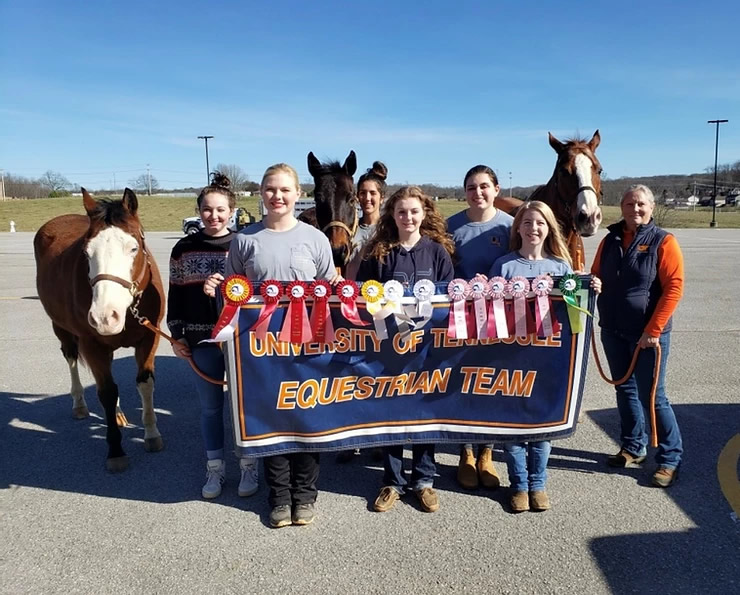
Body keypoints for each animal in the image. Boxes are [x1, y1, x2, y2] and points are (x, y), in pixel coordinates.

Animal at [34, 189, 165, 472]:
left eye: (134, 247)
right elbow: (106, 391)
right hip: (61, 328)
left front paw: (151, 434)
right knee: (72, 359)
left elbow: (145, 384)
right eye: (86, 252)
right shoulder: (91, 344)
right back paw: (80, 404)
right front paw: (115, 450)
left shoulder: (149, 337)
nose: (105, 317)